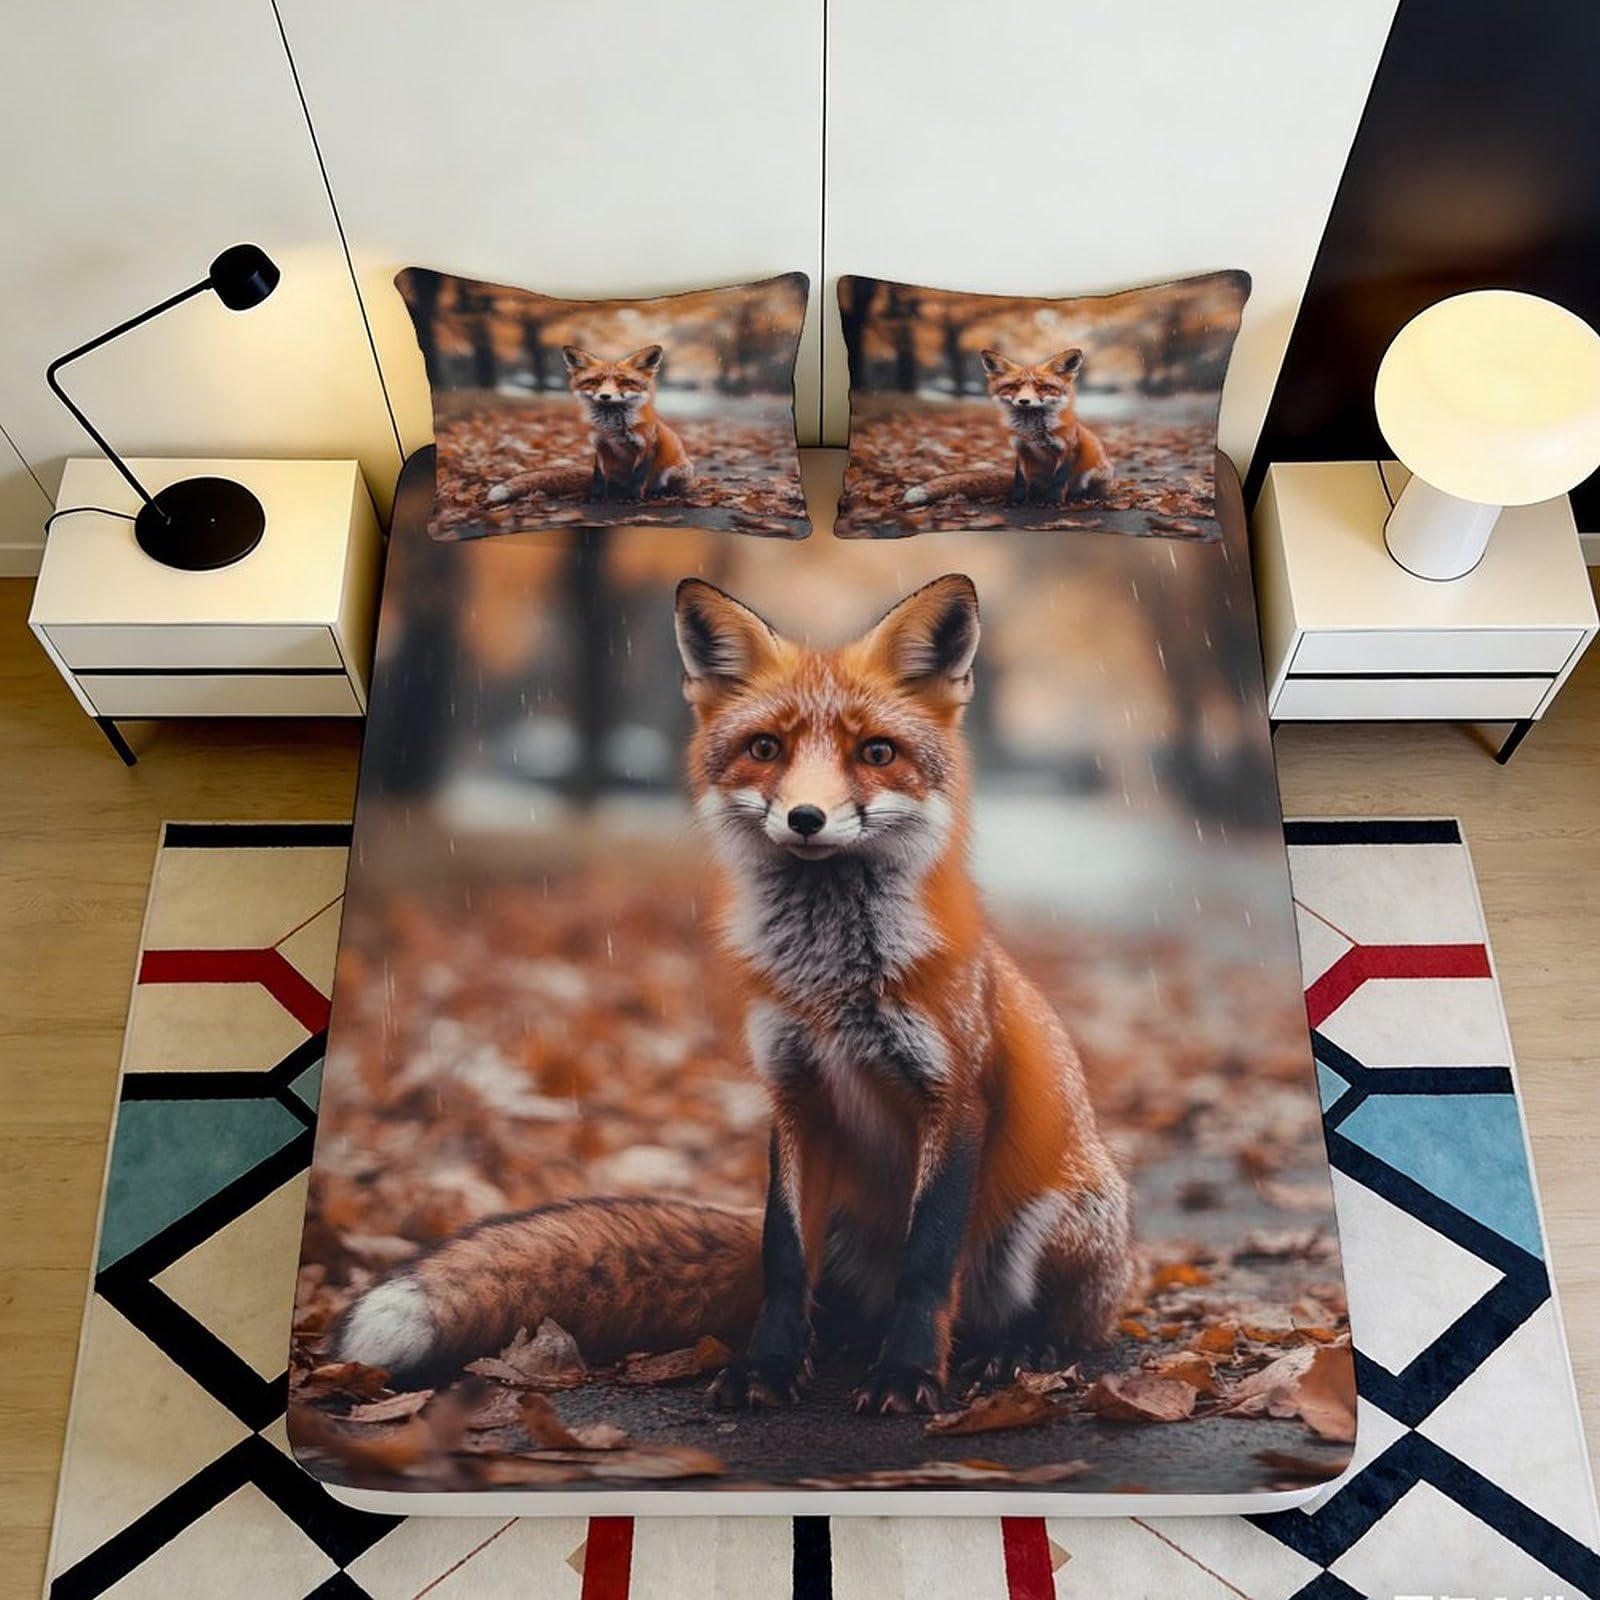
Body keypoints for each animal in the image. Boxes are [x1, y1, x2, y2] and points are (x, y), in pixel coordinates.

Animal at [330, 574, 1132, 1415]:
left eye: (877, 753)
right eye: (766, 748)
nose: (807, 817)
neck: (832, 982)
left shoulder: (954, 1096)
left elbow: (927, 1258)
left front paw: (907, 1374)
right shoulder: (793, 1093)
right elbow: (781, 1256)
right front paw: (770, 1366)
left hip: (1054, 1219)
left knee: (1066, 1324)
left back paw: (1017, 1349)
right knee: (825, 1296)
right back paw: (841, 1341)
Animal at [486, 343, 694, 506]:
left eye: (625, 382)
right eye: (594, 381)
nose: (605, 396)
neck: (612, 428)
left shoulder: (647, 447)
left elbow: (638, 477)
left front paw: (632, 498)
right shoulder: (600, 446)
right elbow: (598, 477)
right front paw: (596, 497)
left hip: (676, 471)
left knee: (669, 487)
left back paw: (658, 494)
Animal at [903, 349, 1114, 511]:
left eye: (1044, 387)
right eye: (1012, 386)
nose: (1024, 401)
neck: (1032, 431)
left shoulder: (1068, 450)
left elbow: (1059, 480)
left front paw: (1052, 502)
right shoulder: (1021, 450)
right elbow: (1019, 480)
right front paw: (1016, 501)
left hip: (1095, 471)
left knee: (1083, 490)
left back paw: (1083, 498)